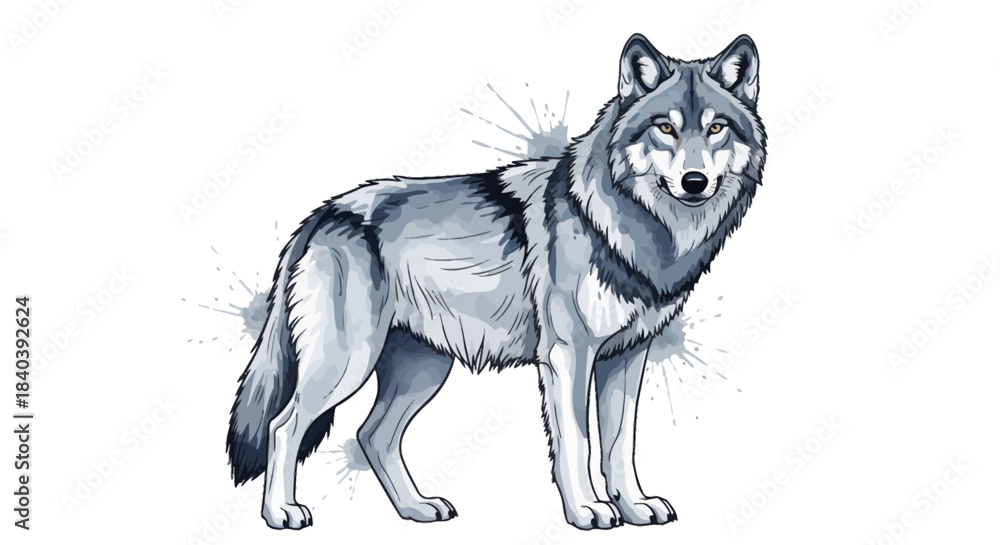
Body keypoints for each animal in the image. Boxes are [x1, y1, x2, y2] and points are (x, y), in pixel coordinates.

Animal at [226, 33, 765, 530]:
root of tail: (323, 213)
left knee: (372, 435)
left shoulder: (628, 356)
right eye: (664, 128)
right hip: (348, 364)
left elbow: (619, 445)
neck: (630, 226)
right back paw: (281, 513)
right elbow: (578, 441)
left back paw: (416, 508)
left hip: (423, 370)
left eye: (716, 128)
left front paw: (634, 507)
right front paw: (587, 510)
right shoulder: (568, 356)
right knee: (284, 426)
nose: (694, 182)